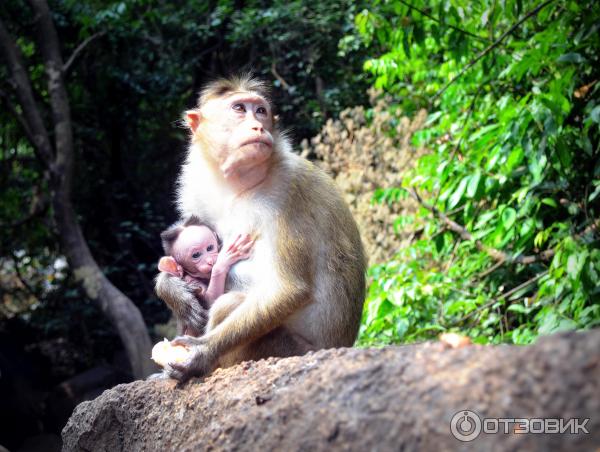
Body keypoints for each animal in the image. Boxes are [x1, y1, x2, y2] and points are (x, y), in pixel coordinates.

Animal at [155, 75, 366, 382]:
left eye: (261, 111)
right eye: (239, 108)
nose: (257, 126)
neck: (239, 186)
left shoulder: (290, 190)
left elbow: (288, 288)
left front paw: (201, 351)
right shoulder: (196, 187)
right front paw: (173, 290)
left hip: (288, 349)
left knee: (228, 304)